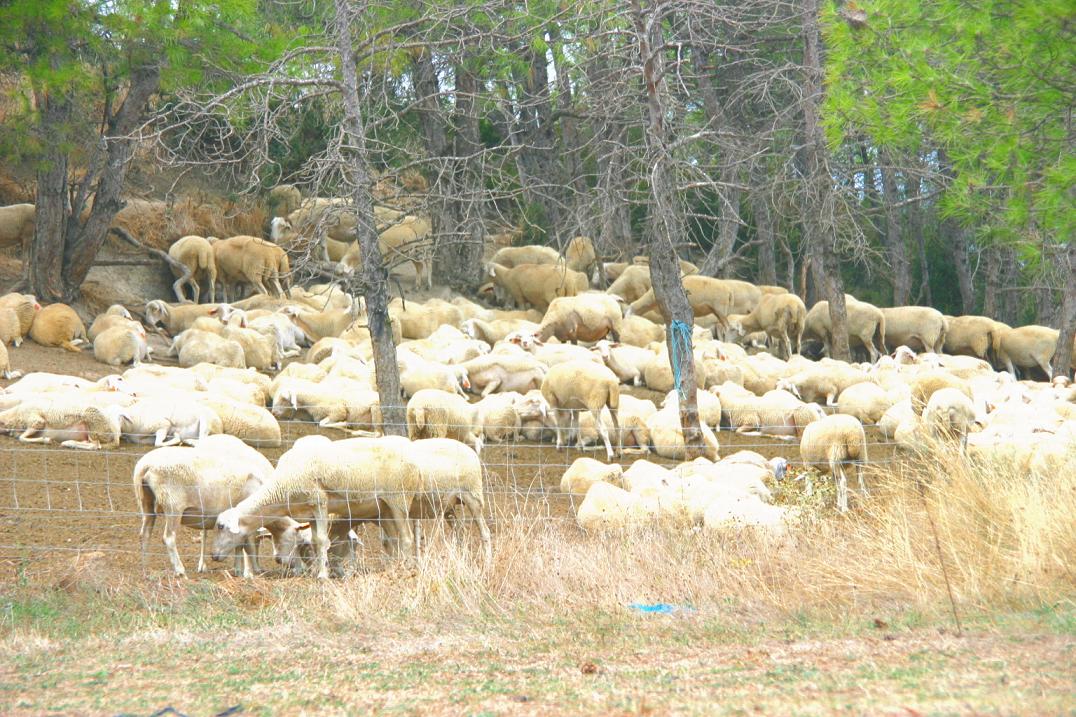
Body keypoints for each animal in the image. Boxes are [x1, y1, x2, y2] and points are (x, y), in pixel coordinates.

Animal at [211, 432, 421, 577]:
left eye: (221, 526)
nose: (213, 555)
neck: (282, 486)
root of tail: (412, 456)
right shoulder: (309, 512)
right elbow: (313, 541)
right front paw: (316, 572)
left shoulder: (319, 502)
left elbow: (321, 540)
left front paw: (322, 575)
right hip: (384, 507)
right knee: (393, 539)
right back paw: (393, 568)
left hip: (399, 499)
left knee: (407, 537)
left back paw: (408, 570)